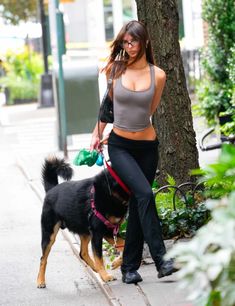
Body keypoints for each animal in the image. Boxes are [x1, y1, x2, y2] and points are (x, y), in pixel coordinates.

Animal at [37, 157, 129, 288]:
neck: (111, 190)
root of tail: (51, 189)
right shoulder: (98, 233)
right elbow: (99, 257)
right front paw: (105, 276)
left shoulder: (109, 231)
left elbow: (125, 245)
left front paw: (115, 263)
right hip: (49, 234)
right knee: (43, 259)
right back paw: (40, 280)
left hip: (85, 232)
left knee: (83, 253)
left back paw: (95, 269)